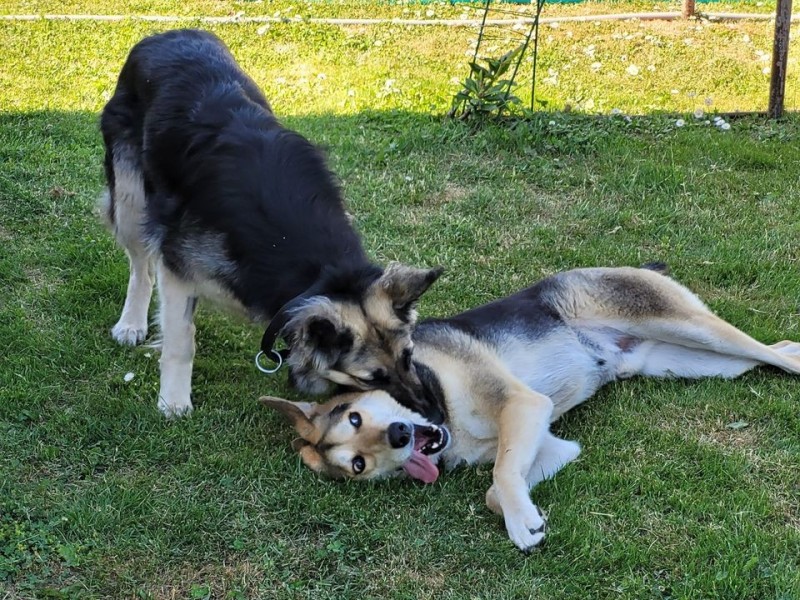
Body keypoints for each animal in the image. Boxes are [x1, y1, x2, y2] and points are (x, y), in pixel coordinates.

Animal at [98, 30, 444, 418]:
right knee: (141, 266)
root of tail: (165, 35)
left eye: (408, 356)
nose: (436, 416)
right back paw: (131, 323)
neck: (318, 266)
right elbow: (181, 339)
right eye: (371, 379)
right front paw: (173, 400)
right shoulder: (177, 270)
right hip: (130, 201)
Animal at [262, 264, 800, 552]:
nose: (399, 435)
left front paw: (520, 523)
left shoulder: (522, 403)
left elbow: (501, 473)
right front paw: (524, 514)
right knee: (773, 351)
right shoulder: (552, 443)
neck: (446, 415)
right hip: (693, 363)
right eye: (358, 463)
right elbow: (499, 485)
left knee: (774, 352)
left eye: (356, 414)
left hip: (684, 326)